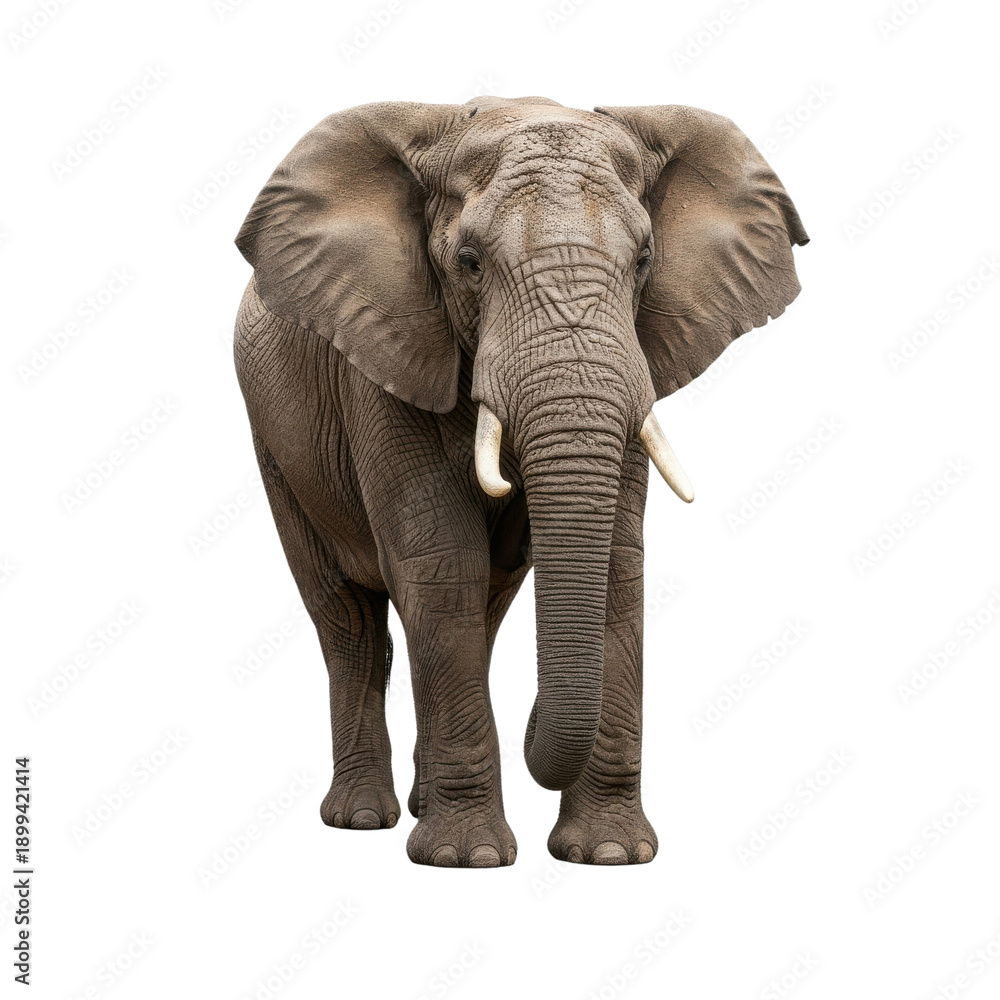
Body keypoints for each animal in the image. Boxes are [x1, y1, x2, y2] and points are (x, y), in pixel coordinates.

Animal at [232, 95, 807, 868]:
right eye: (469, 263)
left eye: (645, 260)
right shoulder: (384, 352)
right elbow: (442, 560)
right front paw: (465, 860)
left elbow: (617, 566)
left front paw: (610, 856)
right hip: (273, 436)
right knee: (348, 619)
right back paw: (361, 819)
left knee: (484, 605)